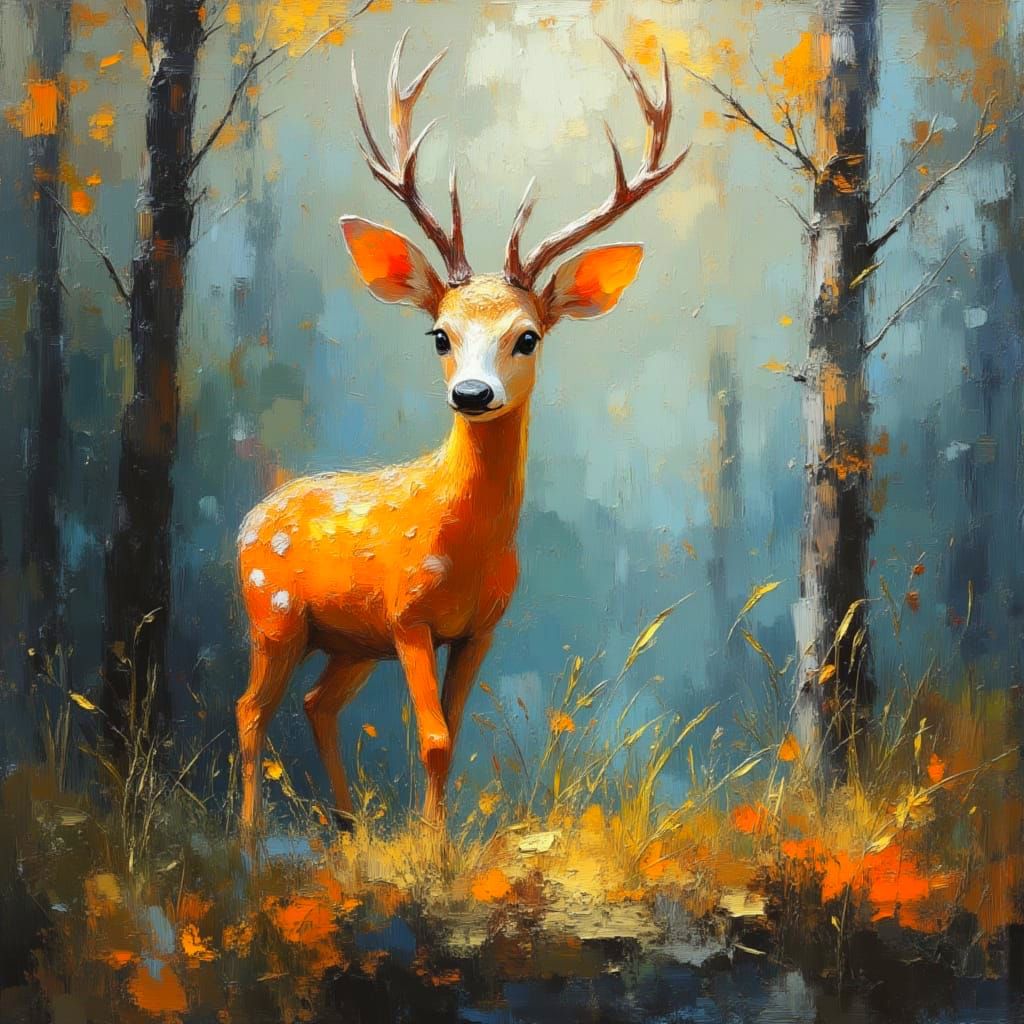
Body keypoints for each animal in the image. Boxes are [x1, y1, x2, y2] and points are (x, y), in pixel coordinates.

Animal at [236, 30, 689, 832]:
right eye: (439, 334)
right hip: (275, 616)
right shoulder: (409, 615)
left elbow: (451, 732)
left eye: (528, 336)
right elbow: (435, 738)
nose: (472, 394)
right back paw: (252, 841)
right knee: (251, 709)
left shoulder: (481, 627)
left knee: (316, 705)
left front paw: (435, 841)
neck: (467, 546)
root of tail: (248, 520)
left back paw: (347, 830)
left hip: (348, 642)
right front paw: (432, 848)